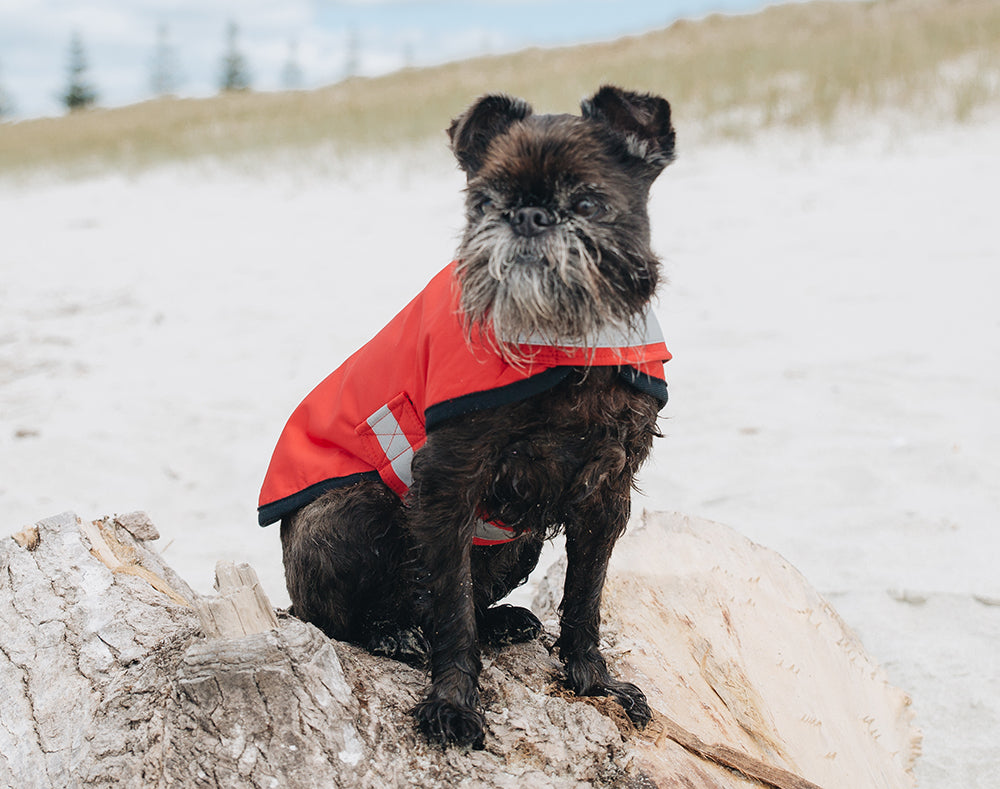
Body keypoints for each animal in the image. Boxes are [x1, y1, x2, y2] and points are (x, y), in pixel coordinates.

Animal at [258, 84, 676, 744]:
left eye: (587, 200)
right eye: (482, 202)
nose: (527, 217)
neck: (561, 340)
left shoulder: (607, 492)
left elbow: (586, 597)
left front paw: (593, 681)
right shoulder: (449, 483)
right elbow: (451, 608)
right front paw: (452, 702)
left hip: (520, 543)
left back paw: (502, 622)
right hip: (349, 512)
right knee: (334, 619)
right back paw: (391, 634)